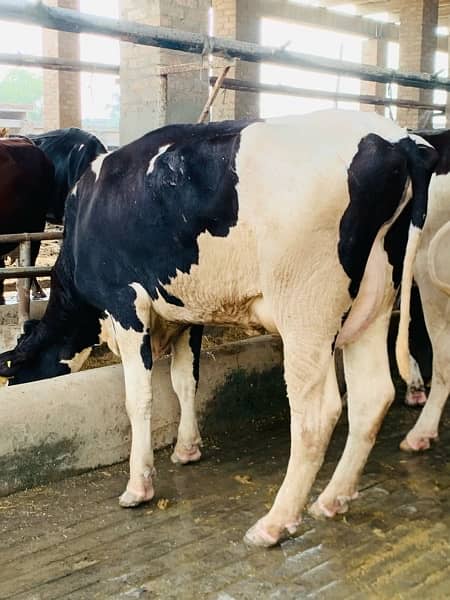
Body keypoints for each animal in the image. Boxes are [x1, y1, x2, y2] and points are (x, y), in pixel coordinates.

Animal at [0, 112, 438, 548]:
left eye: (17, 370)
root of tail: (397, 141)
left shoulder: (126, 305)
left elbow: (139, 399)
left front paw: (138, 486)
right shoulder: (185, 313)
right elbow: (184, 381)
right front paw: (187, 449)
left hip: (307, 312)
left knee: (317, 412)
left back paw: (274, 523)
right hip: (374, 301)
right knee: (372, 397)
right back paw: (332, 500)